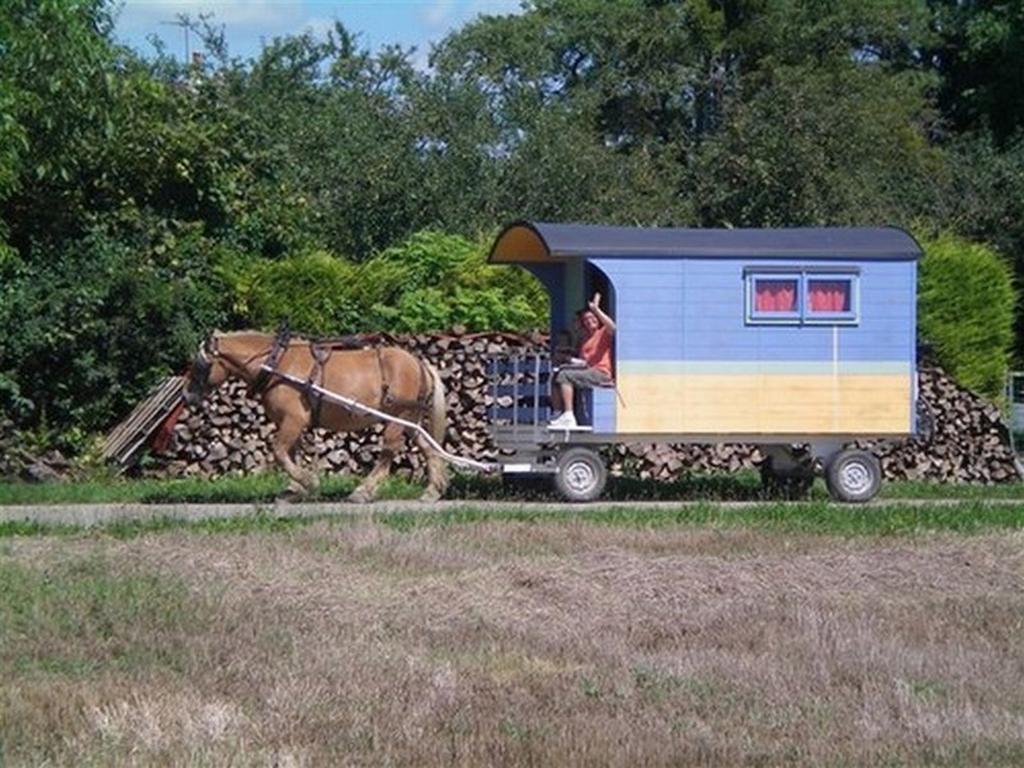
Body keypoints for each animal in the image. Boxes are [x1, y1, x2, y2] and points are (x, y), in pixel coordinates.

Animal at [184, 331, 448, 505]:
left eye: (199, 364)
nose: (187, 395)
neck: (277, 365)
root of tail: (420, 364)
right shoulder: (290, 423)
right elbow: (290, 453)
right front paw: (293, 490)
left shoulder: (293, 420)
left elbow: (279, 451)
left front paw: (308, 483)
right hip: (410, 421)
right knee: (429, 449)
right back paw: (431, 492)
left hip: (397, 417)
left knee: (388, 453)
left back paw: (363, 491)